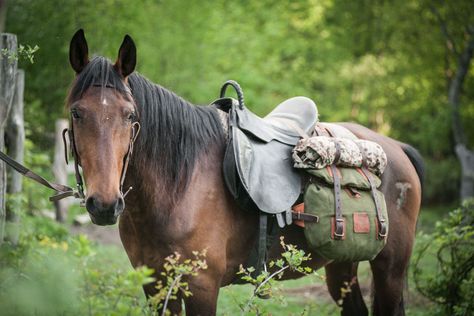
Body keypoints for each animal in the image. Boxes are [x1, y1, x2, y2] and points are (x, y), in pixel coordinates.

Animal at [65, 29, 422, 316]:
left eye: (129, 115)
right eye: (77, 112)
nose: (104, 204)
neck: (178, 186)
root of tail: (396, 147)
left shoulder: (201, 287)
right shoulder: (155, 287)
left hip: (389, 270)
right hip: (342, 266)